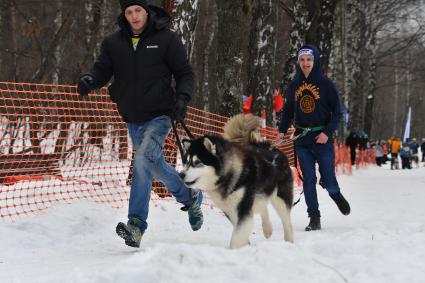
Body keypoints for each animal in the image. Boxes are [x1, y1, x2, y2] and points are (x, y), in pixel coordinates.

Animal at [178, 114, 292, 250]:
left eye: (197, 162)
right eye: (186, 162)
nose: (180, 175)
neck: (227, 175)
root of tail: (274, 148)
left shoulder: (243, 209)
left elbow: (237, 236)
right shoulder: (230, 210)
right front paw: (245, 246)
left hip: (280, 199)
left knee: (287, 222)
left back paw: (290, 242)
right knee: (262, 206)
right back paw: (267, 229)